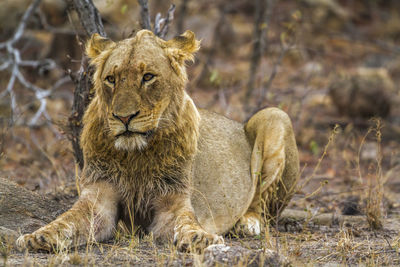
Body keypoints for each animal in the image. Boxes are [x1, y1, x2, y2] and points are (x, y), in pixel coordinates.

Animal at [18, 29, 300, 253]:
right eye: (111, 79)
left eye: (148, 77)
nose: (124, 117)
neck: (135, 156)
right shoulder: (98, 199)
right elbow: (66, 220)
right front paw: (38, 236)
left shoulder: (172, 203)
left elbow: (186, 224)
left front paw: (201, 238)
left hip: (275, 116)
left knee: (262, 204)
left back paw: (247, 223)